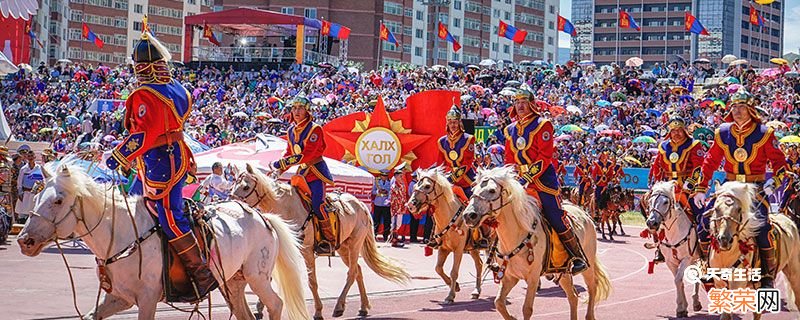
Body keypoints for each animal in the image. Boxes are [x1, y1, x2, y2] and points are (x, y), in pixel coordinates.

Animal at [16, 165, 310, 320]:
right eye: (37, 195)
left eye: (58, 201)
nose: (24, 240)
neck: (122, 233)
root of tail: (263, 217)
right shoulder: (119, 298)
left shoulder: (147, 298)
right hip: (233, 283)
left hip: (257, 276)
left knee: (275, 304)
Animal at [228, 164, 410, 318]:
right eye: (233, 184)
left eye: (245, 186)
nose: (231, 202)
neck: (287, 207)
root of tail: (362, 205)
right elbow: (269, 278)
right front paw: (259, 307)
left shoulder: (307, 251)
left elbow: (312, 282)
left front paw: (318, 311)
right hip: (343, 248)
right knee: (357, 270)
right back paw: (363, 307)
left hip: (354, 245)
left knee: (352, 273)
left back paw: (339, 306)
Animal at [460, 166, 608, 320]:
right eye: (473, 189)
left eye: (492, 190)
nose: (469, 215)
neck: (517, 234)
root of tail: (584, 213)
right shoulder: (509, 277)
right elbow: (499, 303)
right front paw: (512, 317)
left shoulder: (533, 277)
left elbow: (527, 309)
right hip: (563, 270)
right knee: (573, 296)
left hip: (588, 264)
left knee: (592, 287)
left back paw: (590, 314)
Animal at [644, 181, 700, 318]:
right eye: (650, 201)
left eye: (665, 202)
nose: (651, 222)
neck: (675, 231)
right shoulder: (671, 262)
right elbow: (678, 281)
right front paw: (682, 307)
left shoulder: (686, 258)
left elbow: (678, 279)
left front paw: (681, 307)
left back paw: (697, 301)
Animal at [708, 181, 800, 318]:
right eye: (716, 209)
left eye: (739, 209)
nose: (724, 240)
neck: (726, 257)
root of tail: (789, 221)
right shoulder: (720, 285)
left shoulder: (736, 285)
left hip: (794, 272)